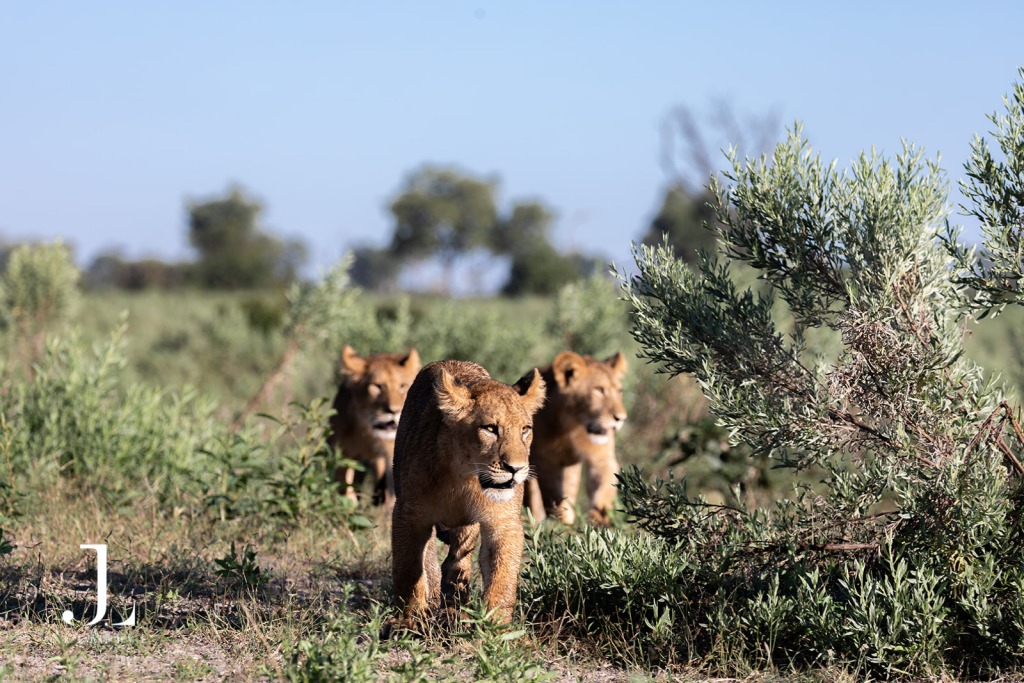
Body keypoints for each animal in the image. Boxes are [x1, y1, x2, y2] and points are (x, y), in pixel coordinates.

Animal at [328, 345, 420, 513]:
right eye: (377, 386)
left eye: (402, 386)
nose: (394, 411)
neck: (367, 432)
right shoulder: (340, 449)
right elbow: (344, 482)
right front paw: (349, 509)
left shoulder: (392, 453)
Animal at [391, 360, 545, 627]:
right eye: (490, 428)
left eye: (525, 429)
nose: (516, 469)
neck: (465, 478)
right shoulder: (408, 514)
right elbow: (408, 570)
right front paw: (408, 622)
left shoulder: (503, 522)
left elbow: (502, 577)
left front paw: (497, 629)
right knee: (430, 558)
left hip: (467, 530)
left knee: (457, 564)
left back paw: (454, 612)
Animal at [524, 350, 628, 526]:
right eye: (599, 390)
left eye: (620, 391)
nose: (620, 418)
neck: (572, 428)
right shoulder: (545, 462)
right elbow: (553, 497)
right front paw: (561, 524)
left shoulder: (602, 458)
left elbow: (604, 489)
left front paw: (598, 521)